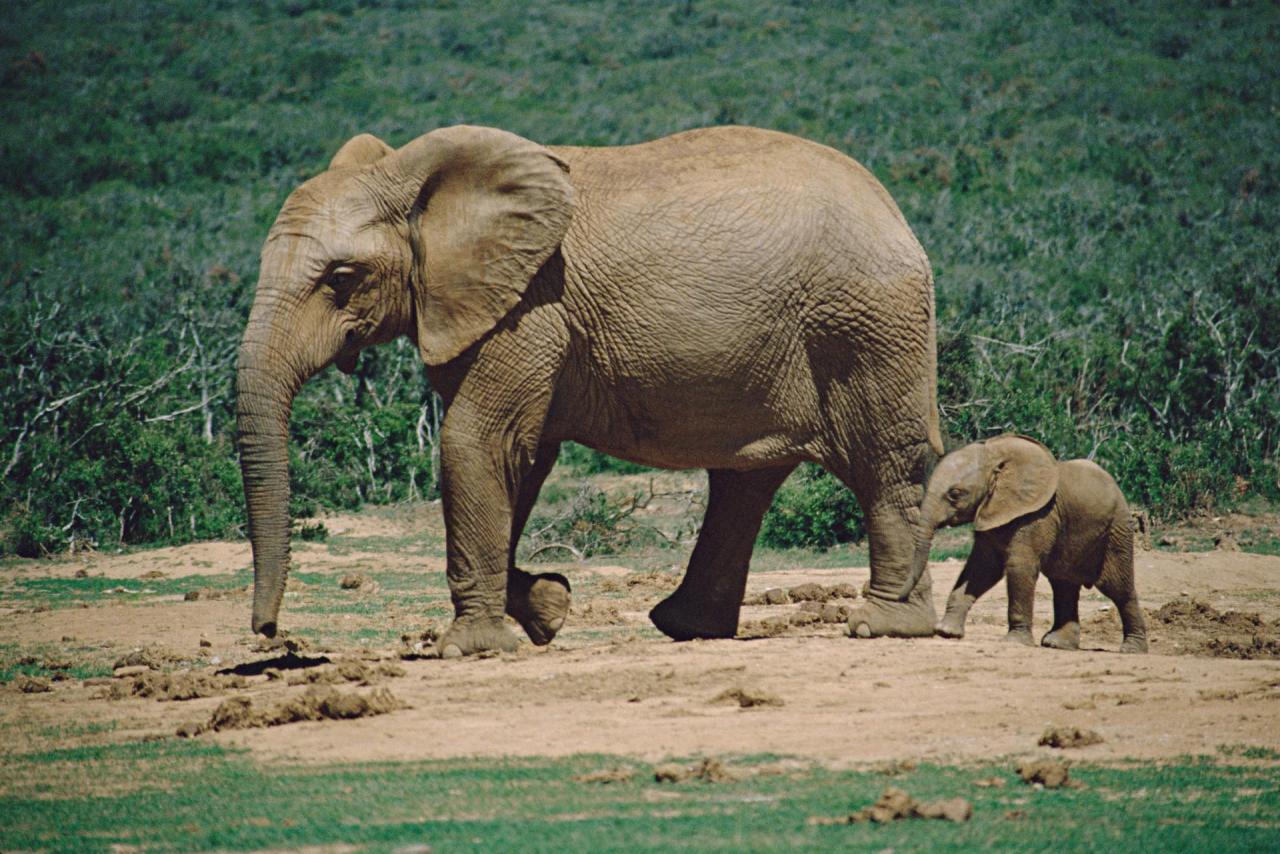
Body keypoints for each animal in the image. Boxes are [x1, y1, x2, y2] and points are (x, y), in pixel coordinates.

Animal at [235, 123, 947, 660]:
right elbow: (521, 459)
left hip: (863, 323)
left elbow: (478, 442)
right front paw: (549, 608)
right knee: (746, 478)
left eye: (341, 278)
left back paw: (884, 626)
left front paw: (471, 647)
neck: (411, 177)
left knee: (882, 464)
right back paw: (687, 627)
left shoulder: (529, 306)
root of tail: (894, 212)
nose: (270, 634)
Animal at [901, 435, 1152, 655]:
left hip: (1117, 530)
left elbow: (1019, 567)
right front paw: (947, 632)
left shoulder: (1037, 516)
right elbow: (981, 569)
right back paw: (1057, 644)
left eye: (955, 494)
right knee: (1064, 584)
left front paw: (1014, 642)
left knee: (1118, 588)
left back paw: (1132, 649)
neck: (997, 457)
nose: (901, 597)